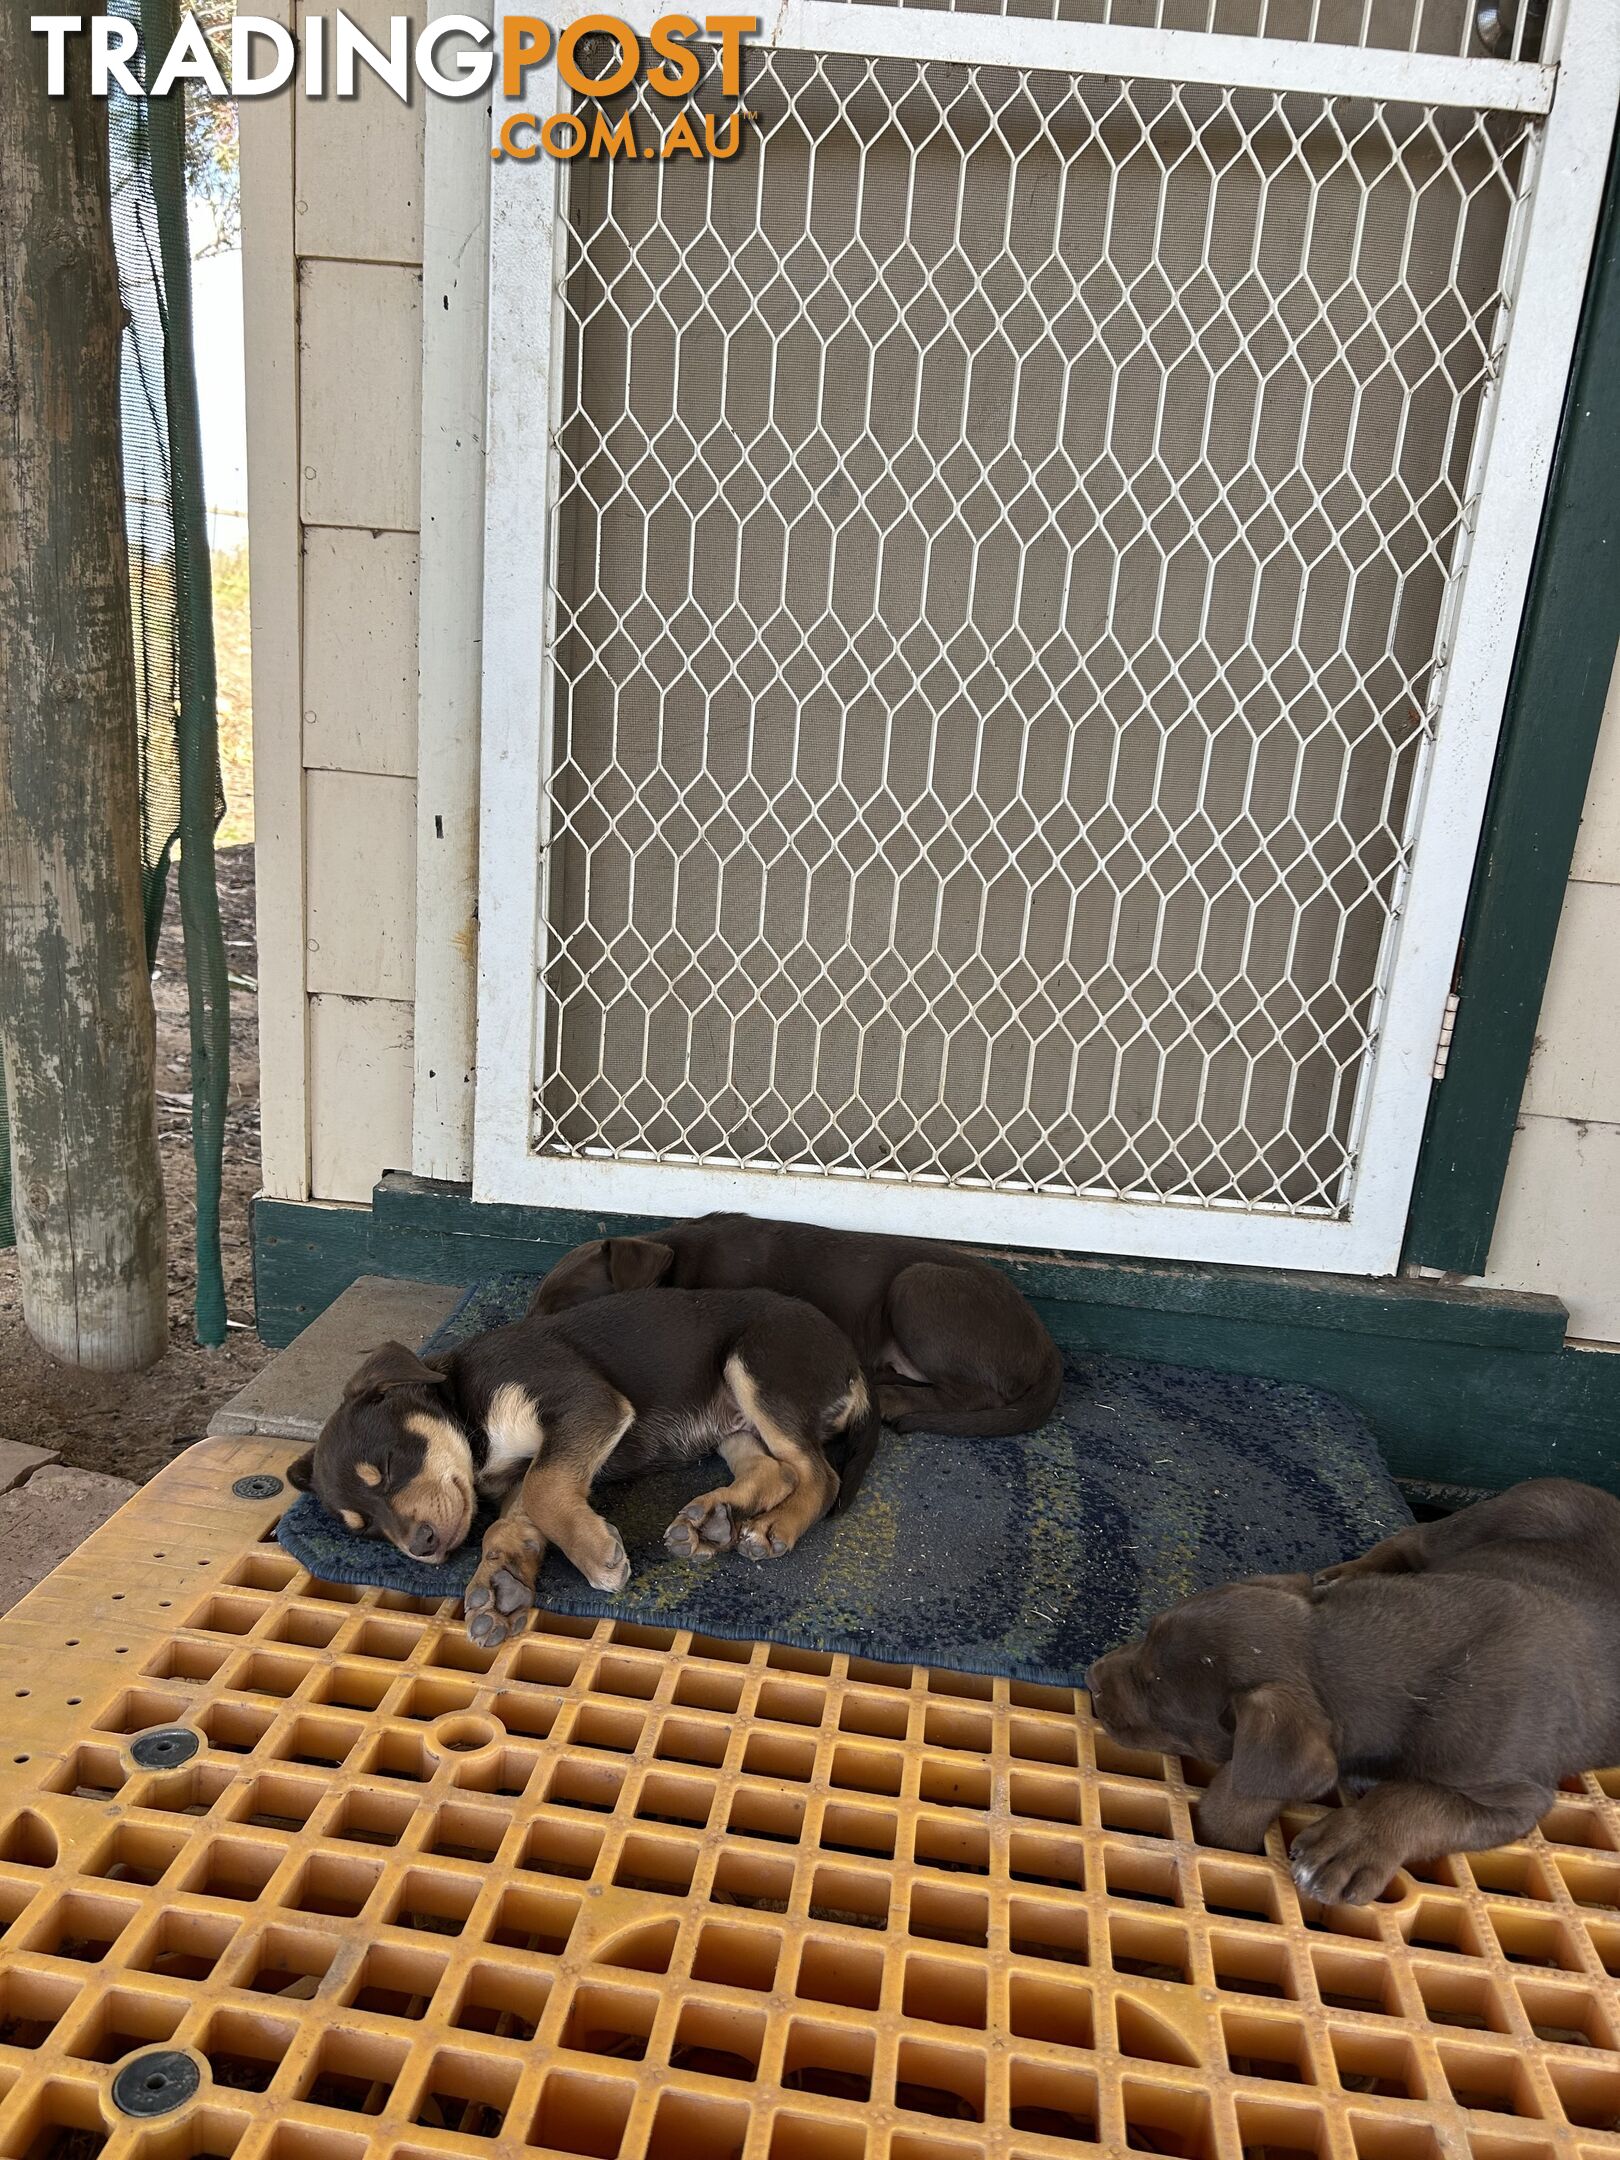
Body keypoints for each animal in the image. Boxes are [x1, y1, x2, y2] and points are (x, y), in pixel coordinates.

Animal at [285, 1278, 881, 1650]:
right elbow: (514, 1519)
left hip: (757, 1367)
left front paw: (596, 1556)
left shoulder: (584, 1407)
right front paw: (498, 1585)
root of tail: (854, 1362)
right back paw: (712, 1521)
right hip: (733, 1423)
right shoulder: (529, 1466)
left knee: (819, 1475)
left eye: (386, 1464)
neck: (466, 1408)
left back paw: (775, 1527)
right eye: (363, 1529)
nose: (422, 1547)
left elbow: (547, 1489)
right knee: (775, 1470)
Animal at [1084, 1486, 1620, 1909]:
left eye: (1154, 1691)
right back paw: (1346, 1573)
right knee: (1407, 1541)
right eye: (1147, 1634)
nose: (1091, 1677)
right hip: (1493, 1518)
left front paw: (1350, 1845)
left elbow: (1414, 1798)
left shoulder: (1517, 1799)